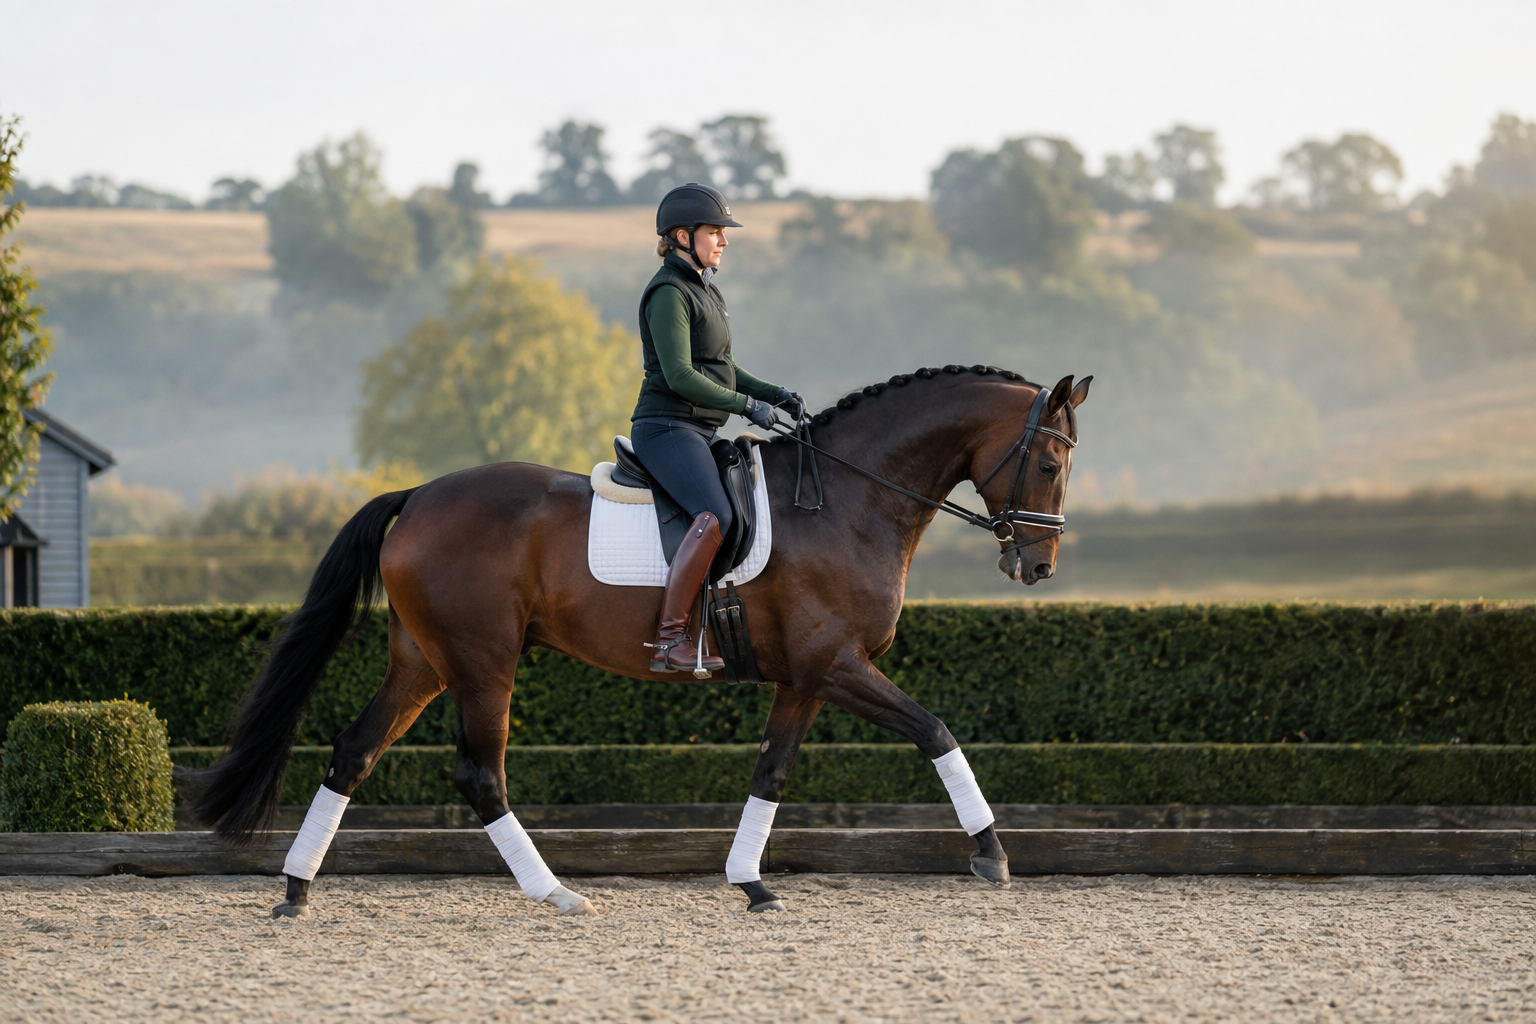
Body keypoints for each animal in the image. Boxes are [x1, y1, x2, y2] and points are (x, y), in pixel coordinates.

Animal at [191, 364, 1091, 917]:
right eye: (1050, 465)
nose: (1038, 565)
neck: (844, 499)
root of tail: (416, 497)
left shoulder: (804, 677)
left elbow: (771, 773)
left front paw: (750, 883)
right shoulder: (838, 666)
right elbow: (936, 731)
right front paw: (991, 856)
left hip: (422, 662)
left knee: (354, 752)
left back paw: (296, 891)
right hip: (483, 662)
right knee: (481, 774)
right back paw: (554, 893)